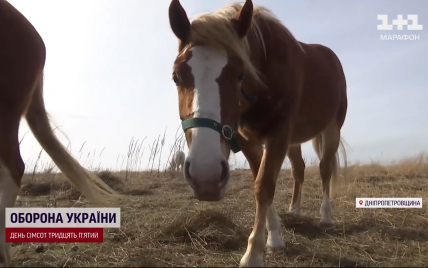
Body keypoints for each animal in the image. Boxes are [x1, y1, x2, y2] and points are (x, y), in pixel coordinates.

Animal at [168, 0, 348, 266]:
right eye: (176, 77)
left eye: (240, 75)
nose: (206, 176)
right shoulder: (247, 140)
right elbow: (260, 182)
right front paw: (274, 238)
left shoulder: (278, 134)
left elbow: (264, 186)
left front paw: (253, 253)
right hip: (294, 142)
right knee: (299, 170)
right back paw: (295, 209)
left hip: (331, 129)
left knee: (325, 168)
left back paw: (326, 218)